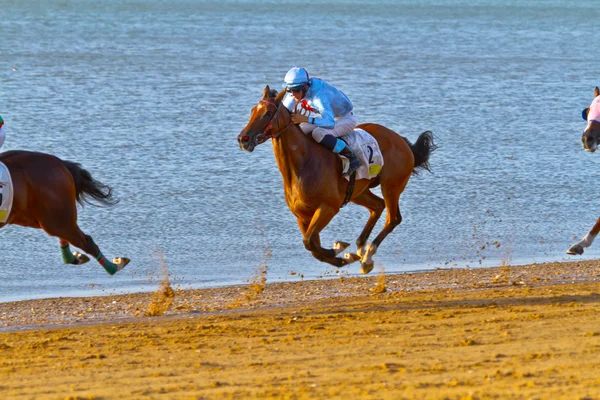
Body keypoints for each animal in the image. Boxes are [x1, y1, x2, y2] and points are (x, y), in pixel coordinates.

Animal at [0, 150, 131, 276]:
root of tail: (59, 162)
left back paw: (116, 265)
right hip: (35, 217)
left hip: (53, 218)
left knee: (86, 242)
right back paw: (78, 258)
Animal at [238, 86, 436, 276]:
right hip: (358, 191)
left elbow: (310, 242)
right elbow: (313, 247)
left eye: (268, 113)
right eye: (252, 110)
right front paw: (343, 254)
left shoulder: (328, 207)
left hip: (391, 186)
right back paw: (361, 248)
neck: (303, 165)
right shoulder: (302, 216)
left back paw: (367, 256)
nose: (243, 139)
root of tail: (401, 140)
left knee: (393, 218)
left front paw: (340, 251)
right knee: (378, 206)